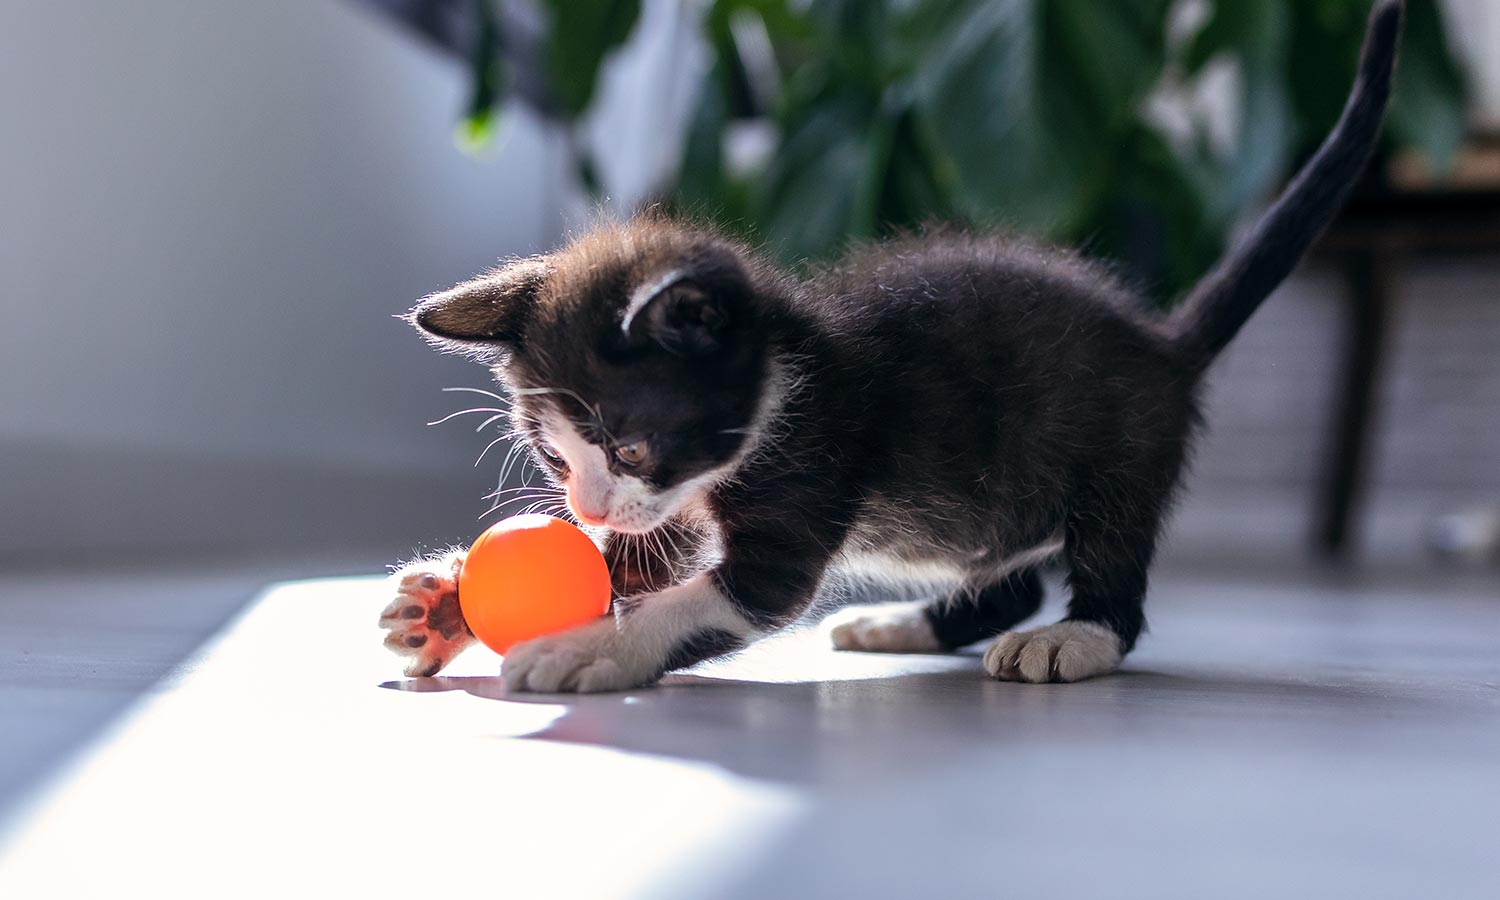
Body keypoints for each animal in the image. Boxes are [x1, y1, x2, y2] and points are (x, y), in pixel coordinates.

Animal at [378, 1, 1404, 690]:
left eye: (628, 446)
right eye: (557, 459)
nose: (584, 510)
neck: (784, 381)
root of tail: (1162, 341)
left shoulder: (808, 467)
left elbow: (714, 596)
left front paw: (591, 647)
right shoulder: (676, 504)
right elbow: (641, 560)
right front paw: (443, 607)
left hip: (1120, 448)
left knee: (1111, 561)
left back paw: (1075, 638)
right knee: (1006, 580)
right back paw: (907, 626)